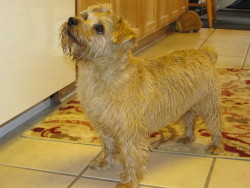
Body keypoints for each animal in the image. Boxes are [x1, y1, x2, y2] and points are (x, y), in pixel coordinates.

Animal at [60, 4, 223, 188]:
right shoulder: (103, 125)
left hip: (208, 104)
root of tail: (205, 53)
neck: (103, 74)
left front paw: (130, 181)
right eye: (85, 16)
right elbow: (108, 147)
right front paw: (104, 163)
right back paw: (187, 137)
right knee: (190, 119)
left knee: (216, 125)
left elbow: (131, 156)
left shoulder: (129, 132)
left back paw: (216, 145)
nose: (71, 20)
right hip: (185, 106)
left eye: (99, 28)